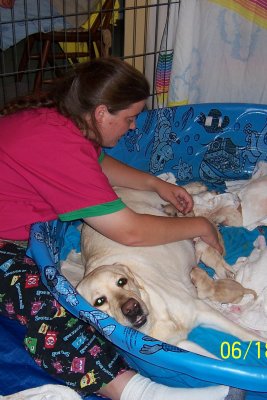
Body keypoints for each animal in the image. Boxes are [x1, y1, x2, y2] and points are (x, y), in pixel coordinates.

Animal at [76, 177, 264, 354]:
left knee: (169, 190)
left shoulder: (203, 310)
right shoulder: (179, 346)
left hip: (147, 196)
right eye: (99, 301)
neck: (154, 318)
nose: (131, 308)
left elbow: (248, 335)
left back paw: (193, 189)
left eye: (122, 281)